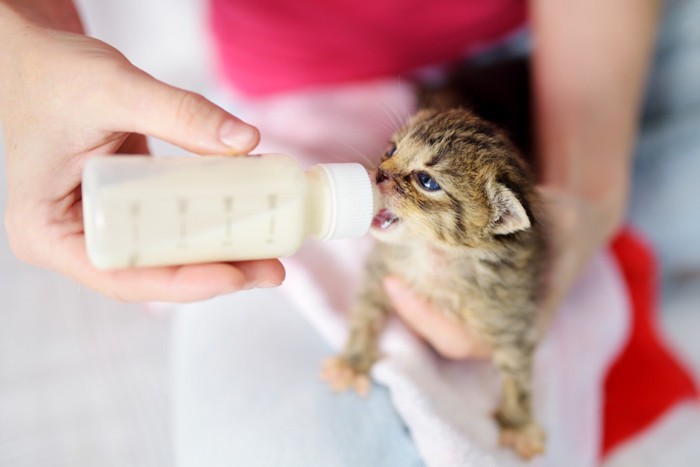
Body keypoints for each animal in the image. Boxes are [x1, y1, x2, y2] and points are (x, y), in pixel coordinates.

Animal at [322, 107, 548, 460]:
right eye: (391, 150)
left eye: (426, 181)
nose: (379, 173)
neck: (437, 256)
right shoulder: (383, 272)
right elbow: (366, 314)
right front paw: (353, 362)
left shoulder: (511, 312)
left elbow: (517, 369)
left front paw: (518, 422)